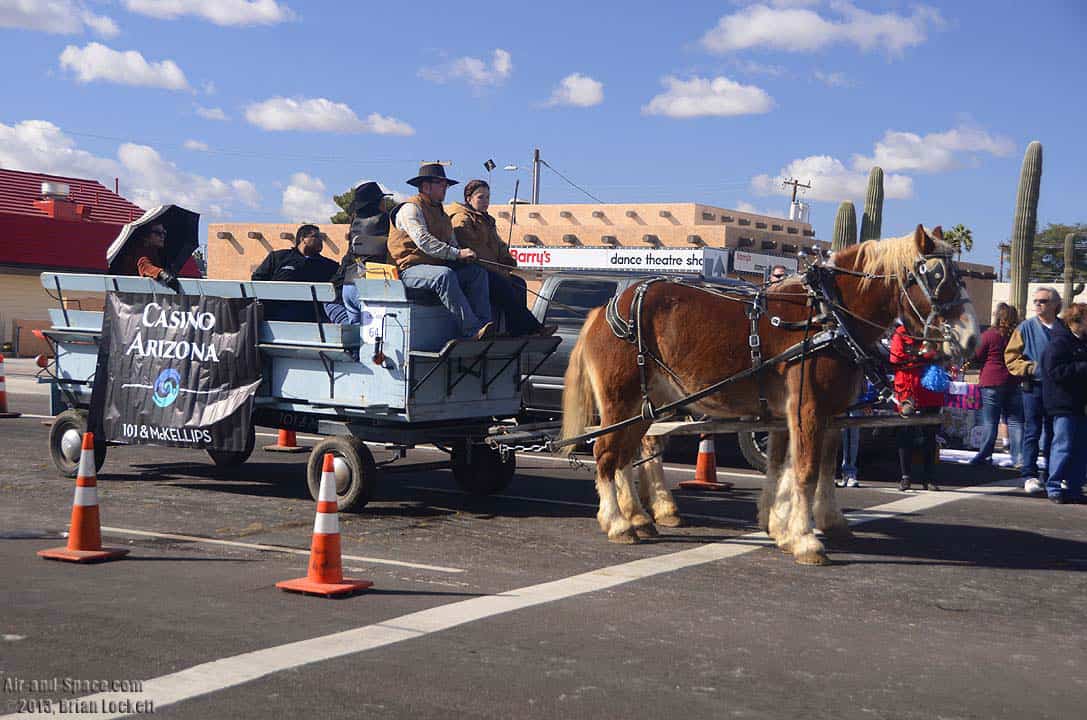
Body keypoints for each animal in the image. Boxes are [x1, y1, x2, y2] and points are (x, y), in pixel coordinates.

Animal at [559, 225, 979, 564]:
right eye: (935, 276)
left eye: (962, 276)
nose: (971, 338)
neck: (828, 316)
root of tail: (604, 309)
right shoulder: (807, 409)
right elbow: (805, 471)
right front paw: (806, 539)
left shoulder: (817, 415)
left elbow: (798, 467)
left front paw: (789, 525)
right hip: (621, 399)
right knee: (606, 453)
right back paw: (618, 522)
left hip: (647, 404)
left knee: (626, 454)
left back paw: (640, 517)